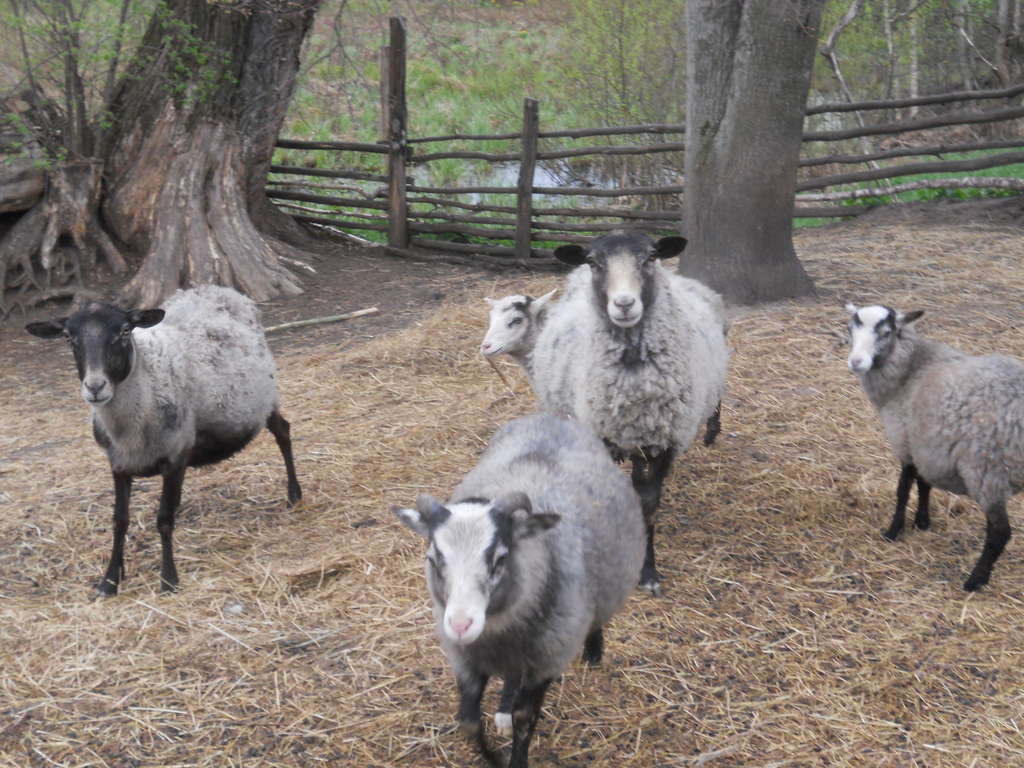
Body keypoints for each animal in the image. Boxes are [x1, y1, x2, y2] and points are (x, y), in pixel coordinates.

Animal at [24, 286, 299, 598]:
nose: (95, 387)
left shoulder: (174, 458)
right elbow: (119, 521)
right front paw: (109, 581)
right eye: (68, 337)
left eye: (125, 330)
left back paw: (294, 495)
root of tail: (219, 290)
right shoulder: (118, 463)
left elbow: (164, 521)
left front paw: (168, 580)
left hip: (266, 398)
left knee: (283, 432)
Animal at [393, 415, 643, 768]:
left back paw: (594, 650)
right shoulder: (466, 659)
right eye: (434, 558)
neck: (498, 634)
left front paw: (514, 759)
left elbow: (525, 717)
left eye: (501, 558)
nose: (460, 625)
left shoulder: (549, 659)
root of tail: (552, 417)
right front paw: (494, 757)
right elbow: (469, 722)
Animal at [528, 231, 729, 598]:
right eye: (594, 261)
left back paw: (712, 430)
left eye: (650, 256)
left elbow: (648, 504)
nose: (623, 304)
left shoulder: (667, 440)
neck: (636, 387)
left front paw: (648, 571)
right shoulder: (604, 436)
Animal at [843, 303, 1024, 593]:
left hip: (987, 470)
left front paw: (893, 531)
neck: (911, 368)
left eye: (886, 332)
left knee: (1000, 532)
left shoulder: (905, 441)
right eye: (850, 328)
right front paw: (922, 522)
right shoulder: (925, 444)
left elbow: (903, 489)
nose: (856, 362)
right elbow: (924, 484)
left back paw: (975, 580)